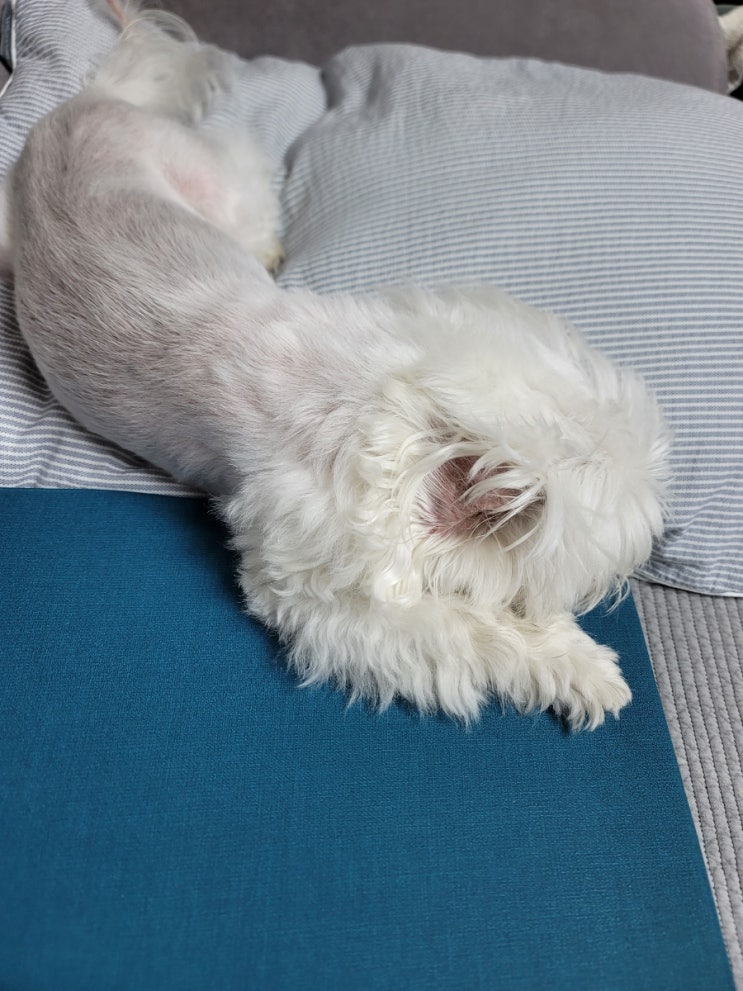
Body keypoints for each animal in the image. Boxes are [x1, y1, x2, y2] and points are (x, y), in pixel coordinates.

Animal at [0, 4, 669, 729]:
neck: (379, 403)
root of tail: (78, 105)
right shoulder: (330, 599)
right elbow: (470, 632)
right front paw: (582, 668)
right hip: (206, 180)